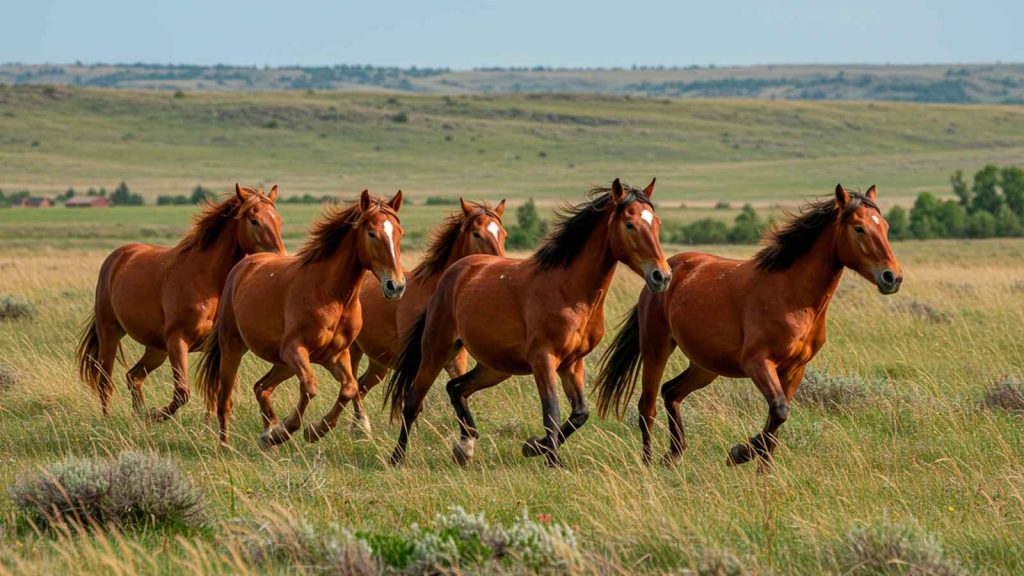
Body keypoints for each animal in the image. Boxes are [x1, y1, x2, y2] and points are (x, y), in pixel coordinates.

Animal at [76, 184, 286, 416]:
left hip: (156, 348)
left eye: (279, 220)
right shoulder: (178, 341)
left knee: (134, 377)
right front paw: (156, 415)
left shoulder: (215, 349)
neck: (206, 279)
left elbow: (216, 395)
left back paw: (140, 414)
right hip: (110, 333)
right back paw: (114, 418)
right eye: (254, 221)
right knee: (105, 381)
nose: (279, 258)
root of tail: (118, 257)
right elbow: (182, 393)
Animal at [197, 188, 405, 444]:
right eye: (372, 233)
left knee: (261, 387)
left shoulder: (336, 355)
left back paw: (268, 437)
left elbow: (349, 388)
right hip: (233, 347)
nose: (396, 286)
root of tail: (245, 264)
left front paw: (315, 430)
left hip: (282, 363)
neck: (330, 294)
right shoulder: (295, 349)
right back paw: (228, 445)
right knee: (225, 400)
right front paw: (289, 430)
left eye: (399, 233)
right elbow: (310, 386)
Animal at [305, 198, 509, 438]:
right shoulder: (416, 361)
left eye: (503, 233)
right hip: (353, 351)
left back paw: (357, 427)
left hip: (379, 363)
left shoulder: (454, 360)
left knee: (361, 385)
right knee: (353, 386)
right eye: (477, 233)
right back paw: (361, 426)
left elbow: (460, 392)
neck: (433, 293)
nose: (497, 267)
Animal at [387, 179, 675, 467]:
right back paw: (397, 458)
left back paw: (465, 447)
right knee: (413, 402)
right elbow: (552, 413)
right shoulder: (543, 359)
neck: (569, 289)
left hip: (496, 367)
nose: (662, 276)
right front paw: (552, 460)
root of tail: (454, 272)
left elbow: (579, 414)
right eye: (630, 224)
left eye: (657, 222)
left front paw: (536, 447)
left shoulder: (572, 363)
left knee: (456, 388)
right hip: (437, 350)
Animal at [593, 183, 905, 467]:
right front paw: (739, 454)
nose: (892, 277)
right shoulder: (757, 362)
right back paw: (648, 464)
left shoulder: (795, 369)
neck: (792, 294)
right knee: (647, 405)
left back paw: (673, 455)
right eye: (859, 228)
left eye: (886, 226)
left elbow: (777, 420)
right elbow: (779, 411)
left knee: (671, 391)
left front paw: (762, 472)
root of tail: (666, 270)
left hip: (705, 365)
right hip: (656, 347)